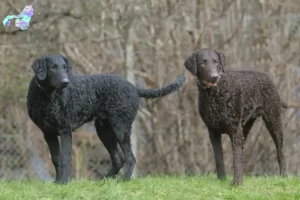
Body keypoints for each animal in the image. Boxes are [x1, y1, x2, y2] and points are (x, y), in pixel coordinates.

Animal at [27, 54, 185, 184]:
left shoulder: (65, 130)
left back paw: (124, 180)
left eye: (65, 68)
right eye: (53, 67)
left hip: (121, 127)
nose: (66, 82)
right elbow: (56, 159)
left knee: (130, 158)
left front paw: (65, 182)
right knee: (118, 159)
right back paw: (105, 180)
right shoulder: (48, 133)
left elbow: (65, 158)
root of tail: (134, 88)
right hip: (105, 131)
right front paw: (57, 182)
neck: (48, 97)